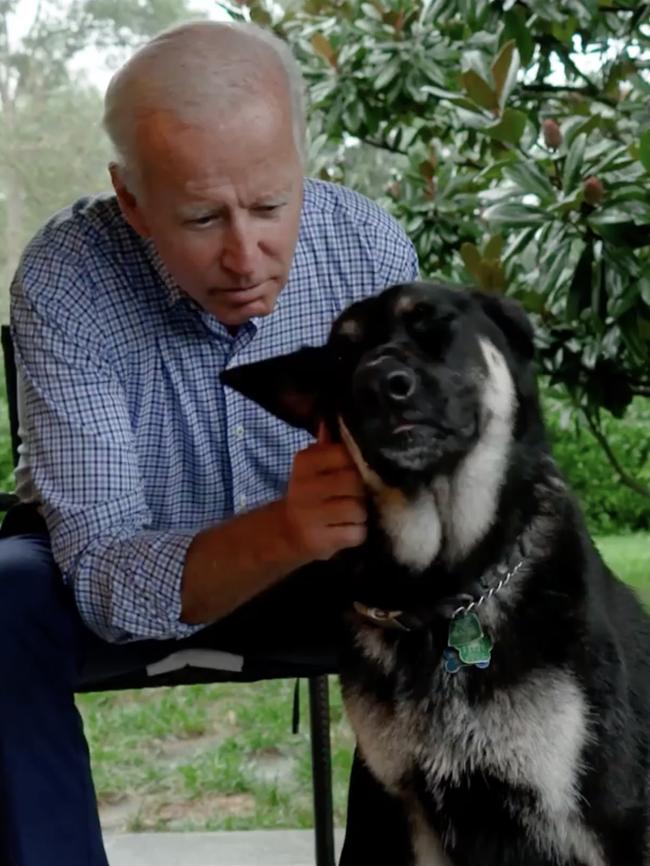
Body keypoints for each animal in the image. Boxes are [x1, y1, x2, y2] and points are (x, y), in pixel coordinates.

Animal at [221, 280, 648, 860]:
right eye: (341, 356)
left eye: (434, 322)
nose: (379, 385)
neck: (446, 591)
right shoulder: (410, 815)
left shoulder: (613, 818)